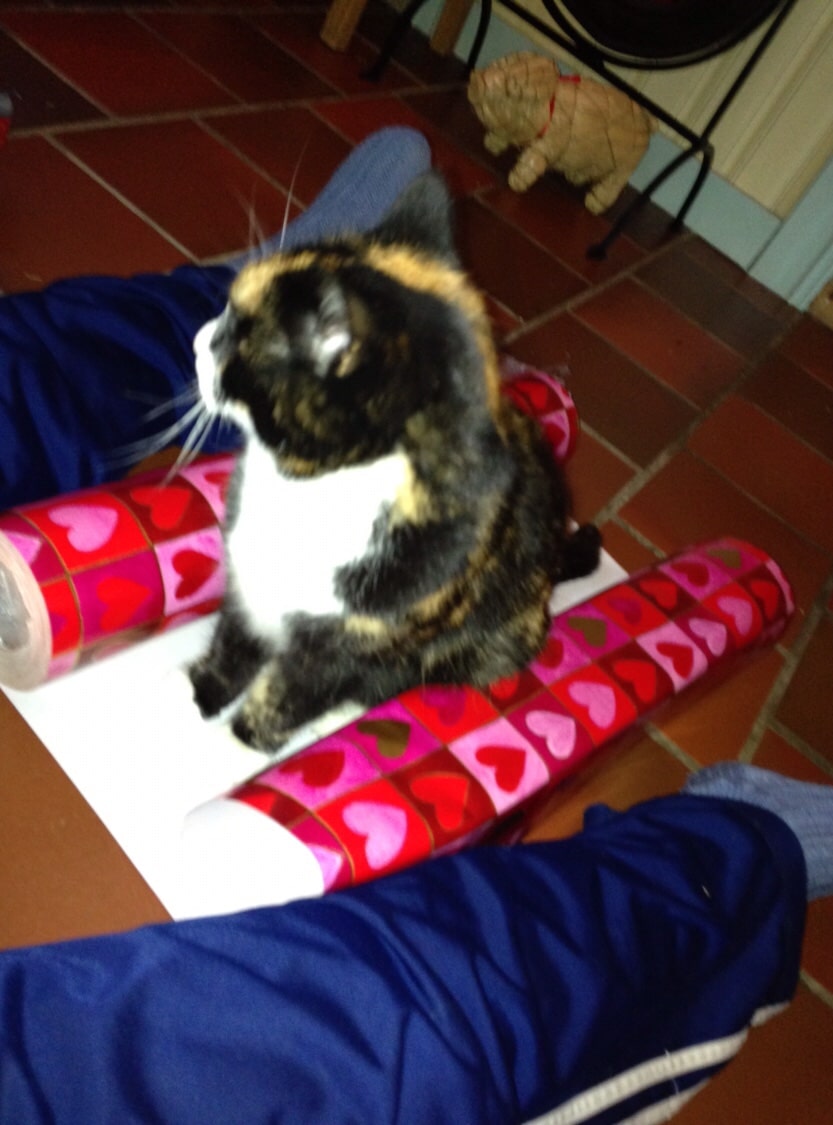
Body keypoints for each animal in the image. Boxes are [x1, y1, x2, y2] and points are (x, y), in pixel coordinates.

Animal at [189, 171, 600, 754]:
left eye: (239, 336)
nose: (199, 339)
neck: (309, 491)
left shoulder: (346, 645)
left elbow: (287, 696)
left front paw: (243, 742)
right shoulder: (249, 580)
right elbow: (233, 643)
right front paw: (196, 699)